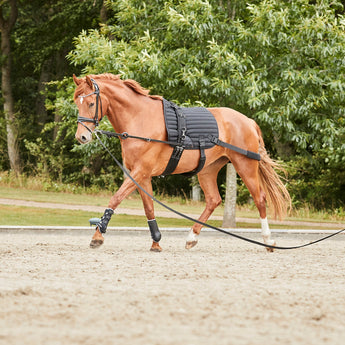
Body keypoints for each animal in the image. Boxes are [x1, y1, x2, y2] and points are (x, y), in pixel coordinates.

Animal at [73, 73, 290, 250]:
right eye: (77, 103)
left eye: (91, 103)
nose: (81, 137)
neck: (140, 119)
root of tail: (248, 121)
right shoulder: (141, 175)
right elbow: (149, 208)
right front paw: (156, 241)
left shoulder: (140, 172)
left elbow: (116, 198)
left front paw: (98, 236)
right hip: (207, 170)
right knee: (214, 200)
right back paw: (192, 237)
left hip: (245, 166)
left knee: (260, 199)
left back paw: (268, 240)